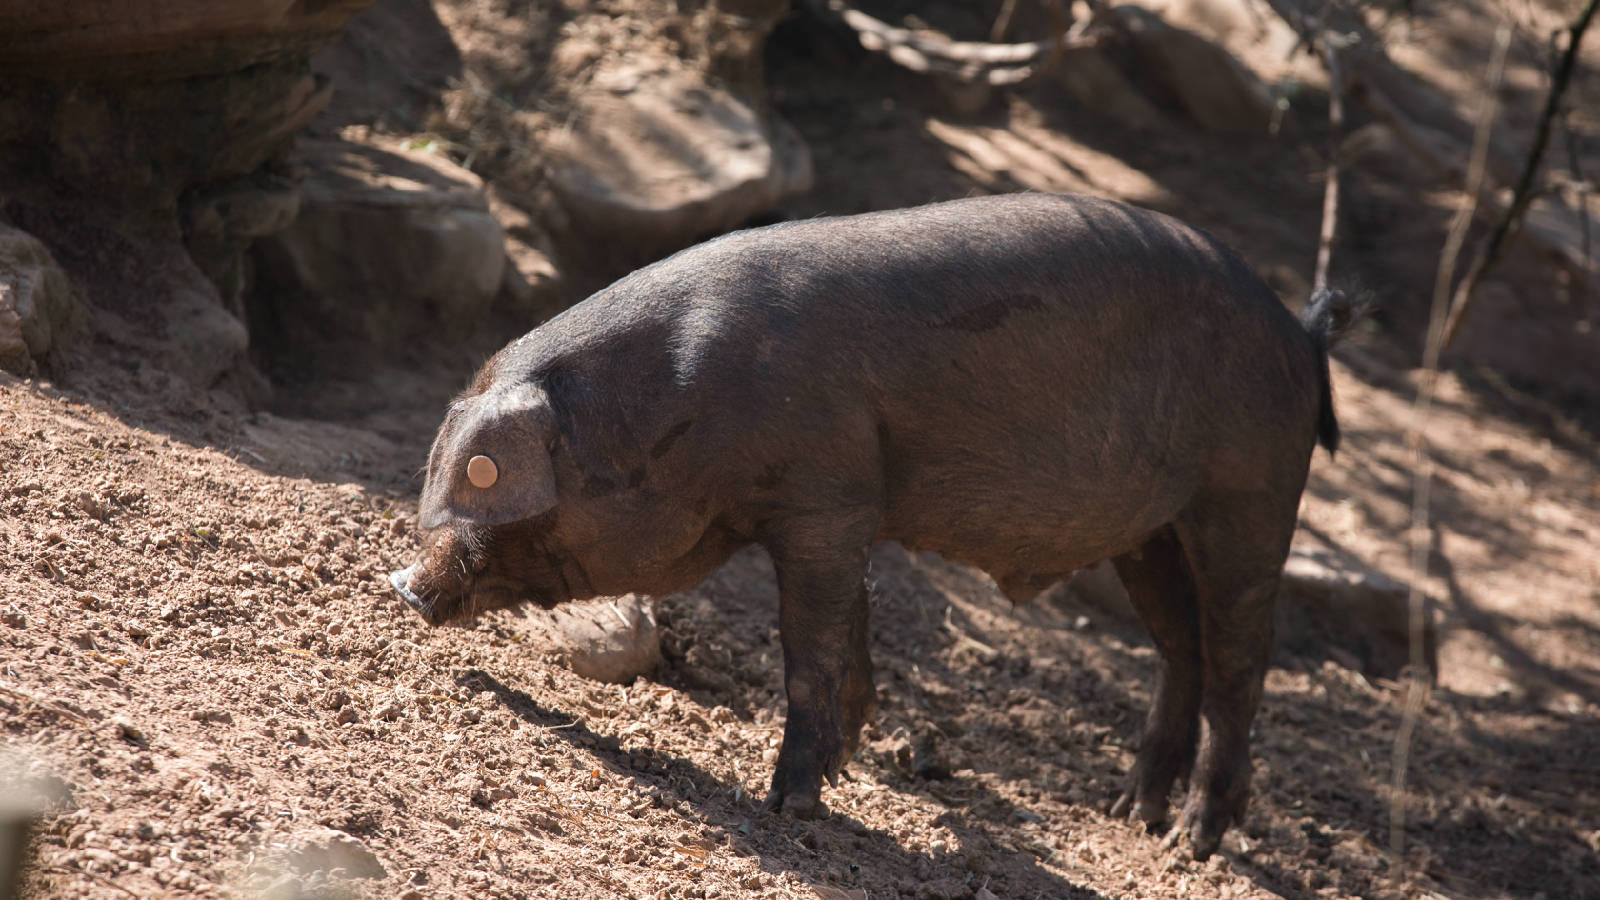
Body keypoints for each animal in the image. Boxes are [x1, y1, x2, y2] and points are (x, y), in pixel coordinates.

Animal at [387, 194, 1350, 851]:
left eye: (485, 491)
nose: (405, 585)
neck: (681, 402)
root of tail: (1303, 337)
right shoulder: (849, 509)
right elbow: (851, 628)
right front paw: (844, 766)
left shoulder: (825, 497)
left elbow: (808, 644)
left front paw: (791, 804)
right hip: (1151, 531)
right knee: (1182, 647)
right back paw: (1130, 813)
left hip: (1250, 488)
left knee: (1240, 657)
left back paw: (1195, 839)